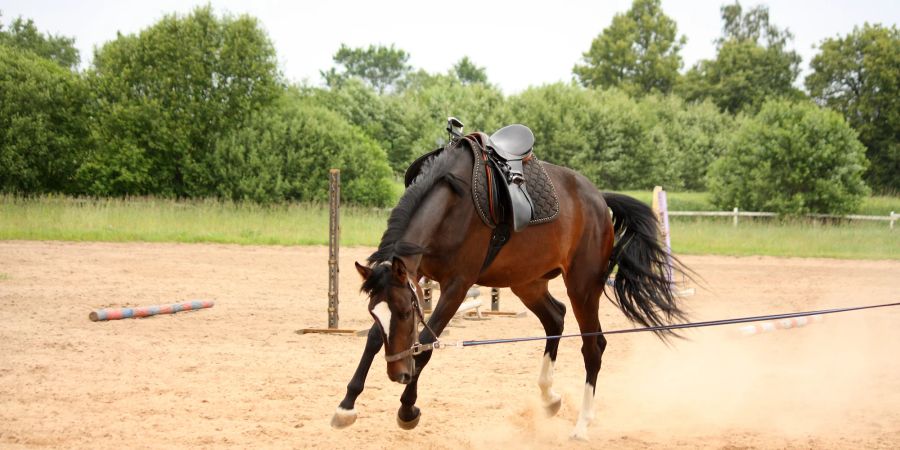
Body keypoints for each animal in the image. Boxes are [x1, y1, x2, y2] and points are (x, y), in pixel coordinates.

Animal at [330, 130, 688, 440]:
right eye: (377, 312)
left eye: (406, 313)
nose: (397, 373)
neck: (452, 198)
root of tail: (599, 199)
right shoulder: (414, 273)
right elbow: (374, 338)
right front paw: (346, 406)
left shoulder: (457, 286)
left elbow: (427, 344)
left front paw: (408, 409)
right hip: (527, 282)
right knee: (555, 318)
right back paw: (549, 397)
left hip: (583, 286)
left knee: (593, 345)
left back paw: (582, 424)